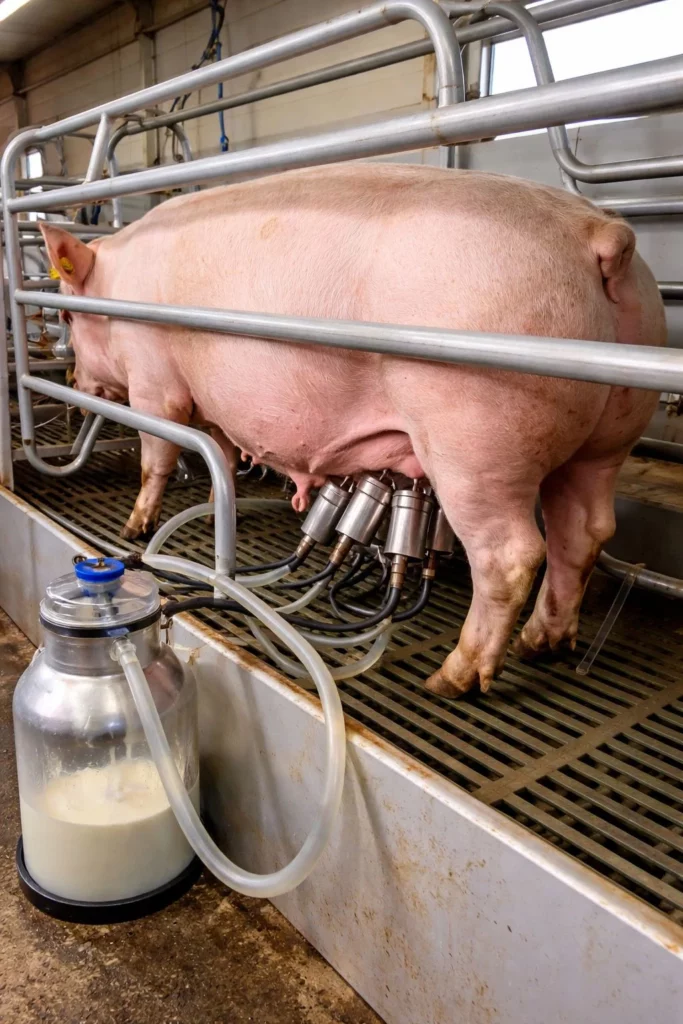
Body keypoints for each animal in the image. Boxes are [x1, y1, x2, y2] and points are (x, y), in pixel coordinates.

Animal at [40, 163, 666, 698]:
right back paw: (543, 644)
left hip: (475, 437)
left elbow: (158, 454)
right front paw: (222, 509)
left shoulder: (155, 381)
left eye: (67, 314)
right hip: (609, 434)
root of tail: (599, 234)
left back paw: (449, 681)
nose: (71, 378)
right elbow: (221, 458)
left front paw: (136, 526)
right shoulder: (214, 404)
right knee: (584, 531)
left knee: (512, 554)